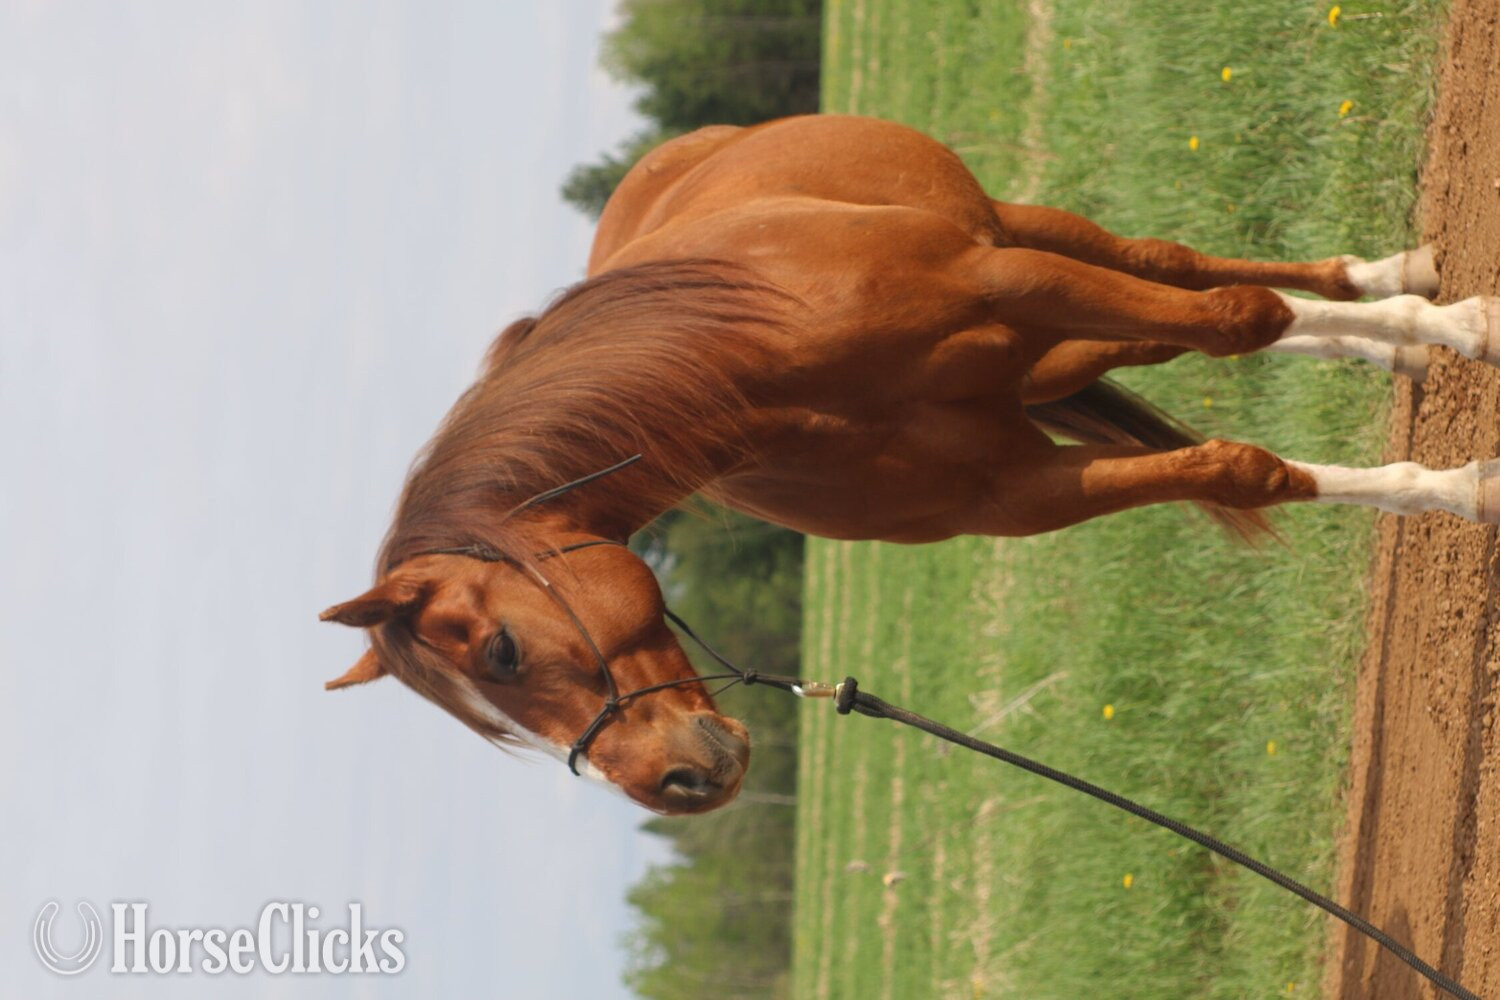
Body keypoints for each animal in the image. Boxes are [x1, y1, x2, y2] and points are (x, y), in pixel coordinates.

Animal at [321, 114, 1499, 815]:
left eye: (502, 652)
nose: (677, 784)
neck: (772, 369)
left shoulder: (1013, 282)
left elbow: (1237, 317)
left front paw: (1464, 368)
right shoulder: (1019, 490)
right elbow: (1236, 466)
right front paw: (1447, 482)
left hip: (1022, 235)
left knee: (1186, 274)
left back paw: (1400, 286)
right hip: (1048, 354)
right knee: (1161, 335)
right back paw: (1392, 340)